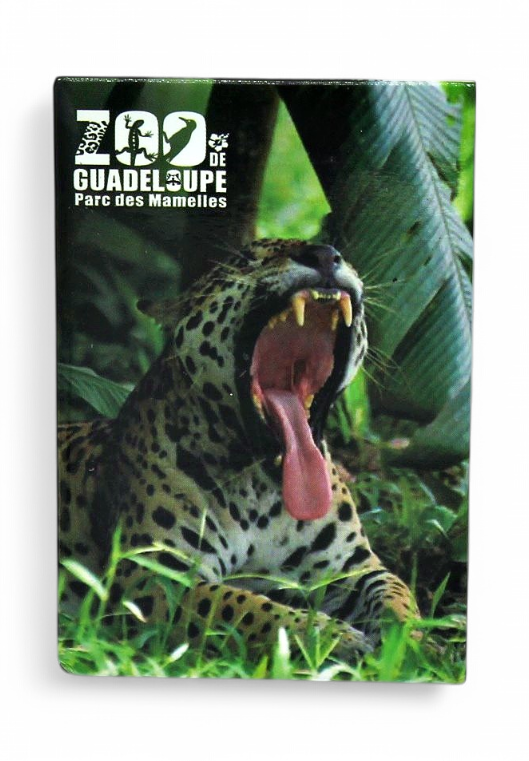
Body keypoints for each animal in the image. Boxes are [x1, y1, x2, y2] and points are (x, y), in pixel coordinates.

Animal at [58, 239, 418, 661]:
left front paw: (411, 644)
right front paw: (332, 638)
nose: (325, 254)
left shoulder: (354, 567)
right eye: (246, 261)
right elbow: (246, 607)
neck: (264, 487)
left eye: (336, 254)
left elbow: (397, 597)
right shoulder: (156, 577)